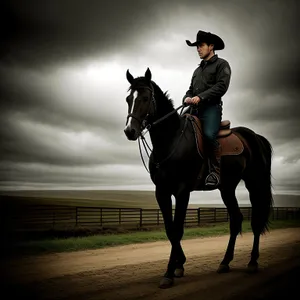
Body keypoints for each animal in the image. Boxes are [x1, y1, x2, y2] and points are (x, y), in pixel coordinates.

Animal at [123, 67, 274, 288]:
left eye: (145, 97)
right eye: (128, 98)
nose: (130, 131)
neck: (171, 140)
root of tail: (255, 137)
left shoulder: (182, 191)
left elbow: (177, 229)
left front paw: (169, 273)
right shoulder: (162, 191)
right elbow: (169, 229)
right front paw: (179, 264)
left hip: (254, 183)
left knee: (255, 220)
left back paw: (252, 262)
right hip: (227, 188)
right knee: (236, 219)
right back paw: (225, 262)